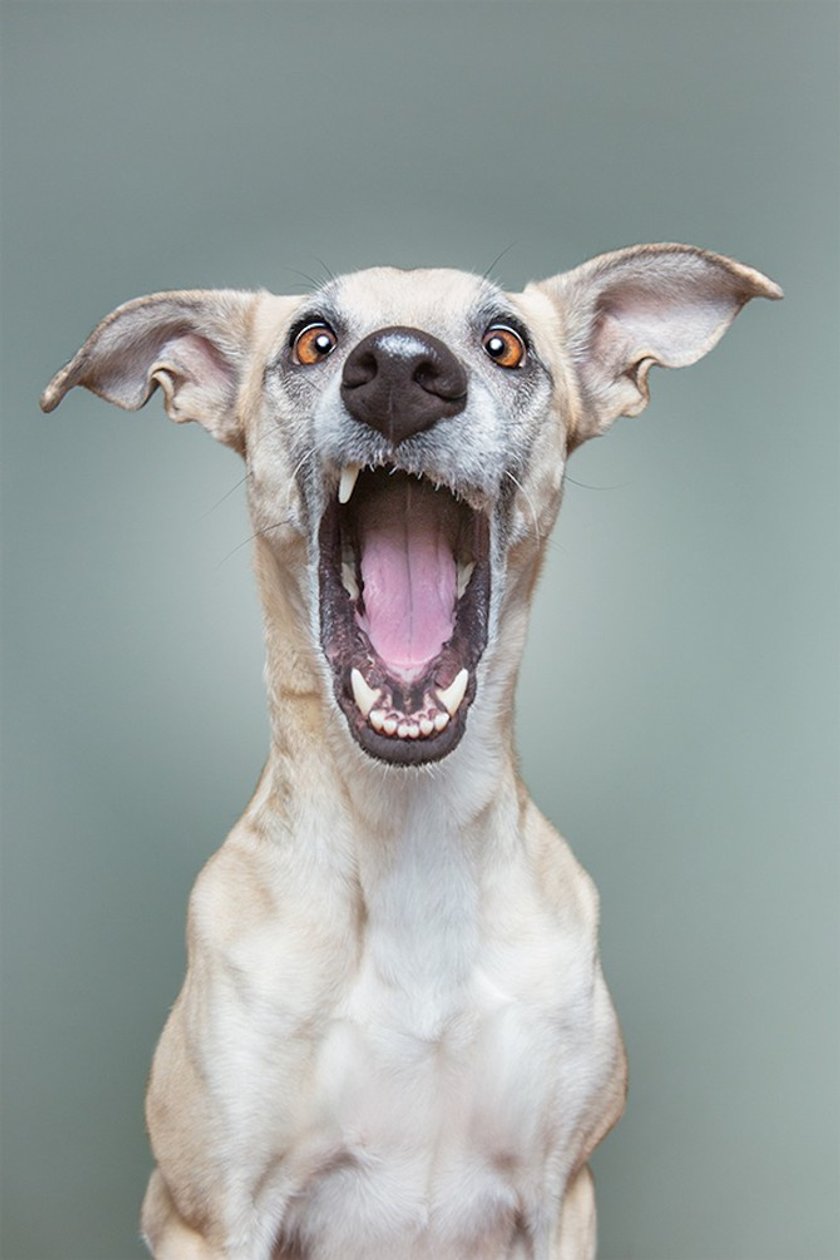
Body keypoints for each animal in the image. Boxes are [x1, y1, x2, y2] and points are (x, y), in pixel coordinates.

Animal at [40, 240, 780, 1254]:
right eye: (313, 339)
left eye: (505, 343)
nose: (398, 370)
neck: (411, 843)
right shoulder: (212, 1216)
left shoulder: (563, 1194)